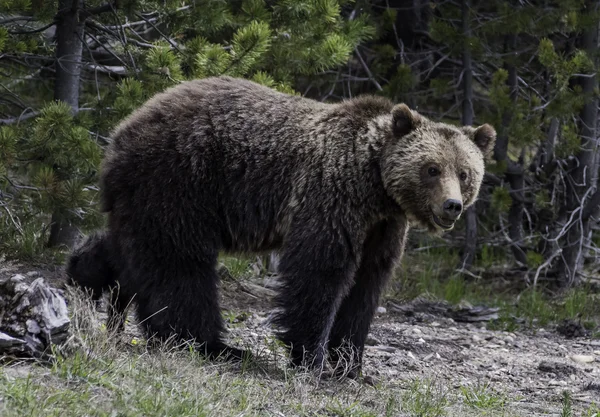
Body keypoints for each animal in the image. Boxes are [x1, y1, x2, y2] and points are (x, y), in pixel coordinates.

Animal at [67, 75, 496, 376]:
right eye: (431, 168)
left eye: (465, 172)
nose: (452, 206)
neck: (375, 185)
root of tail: (121, 131)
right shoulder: (332, 195)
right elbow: (320, 271)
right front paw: (312, 358)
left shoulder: (383, 226)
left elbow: (367, 285)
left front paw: (352, 364)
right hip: (181, 178)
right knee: (179, 262)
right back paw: (212, 345)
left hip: (149, 193)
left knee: (129, 247)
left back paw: (85, 280)